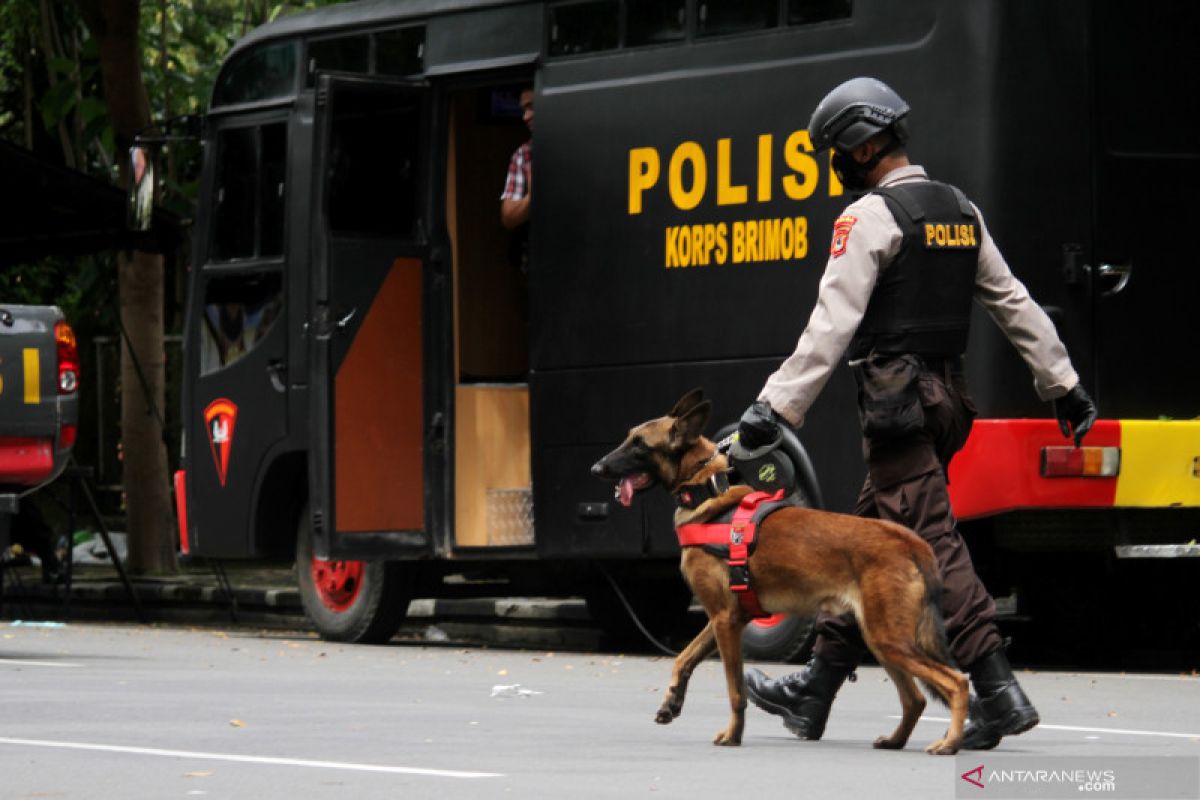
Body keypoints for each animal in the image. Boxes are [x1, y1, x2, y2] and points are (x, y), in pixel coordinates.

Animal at [595, 391, 969, 753]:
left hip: (890, 640)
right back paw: (895, 741)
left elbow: (735, 690)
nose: (596, 467)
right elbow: (683, 659)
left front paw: (733, 735)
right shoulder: (724, 617)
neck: (707, 492)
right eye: (629, 438)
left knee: (956, 681)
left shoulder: (725, 621)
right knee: (916, 699)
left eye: (639, 445)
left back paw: (950, 742)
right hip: (881, 640)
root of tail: (910, 541)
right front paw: (672, 702)